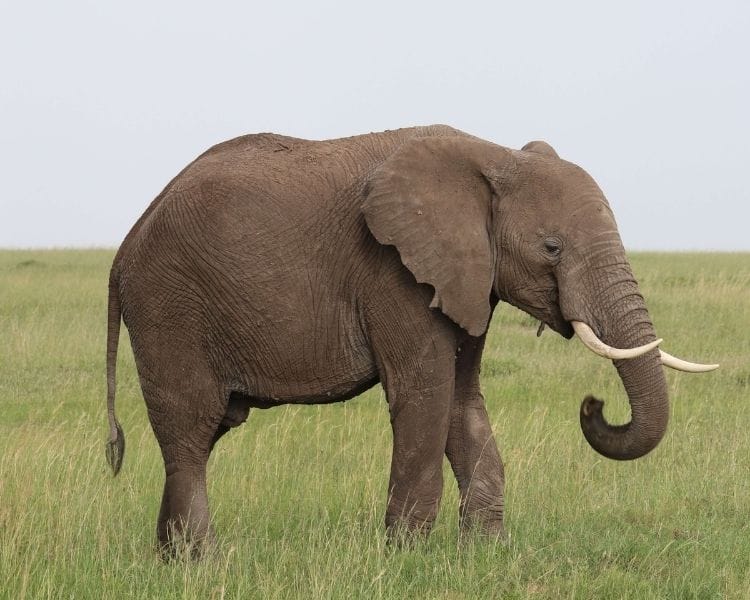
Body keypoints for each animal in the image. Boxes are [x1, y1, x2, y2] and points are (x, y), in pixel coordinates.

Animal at [105, 125, 716, 556]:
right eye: (552, 248)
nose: (594, 404)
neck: (492, 157)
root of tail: (126, 244)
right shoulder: (393, 273)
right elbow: (425, 395)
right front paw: (407, 559)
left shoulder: (466, 278)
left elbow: (463, 401)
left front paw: (485, 556)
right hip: (168, 309)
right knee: (190, 431)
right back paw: (200, 563)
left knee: (201, 436)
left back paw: (172, 559)